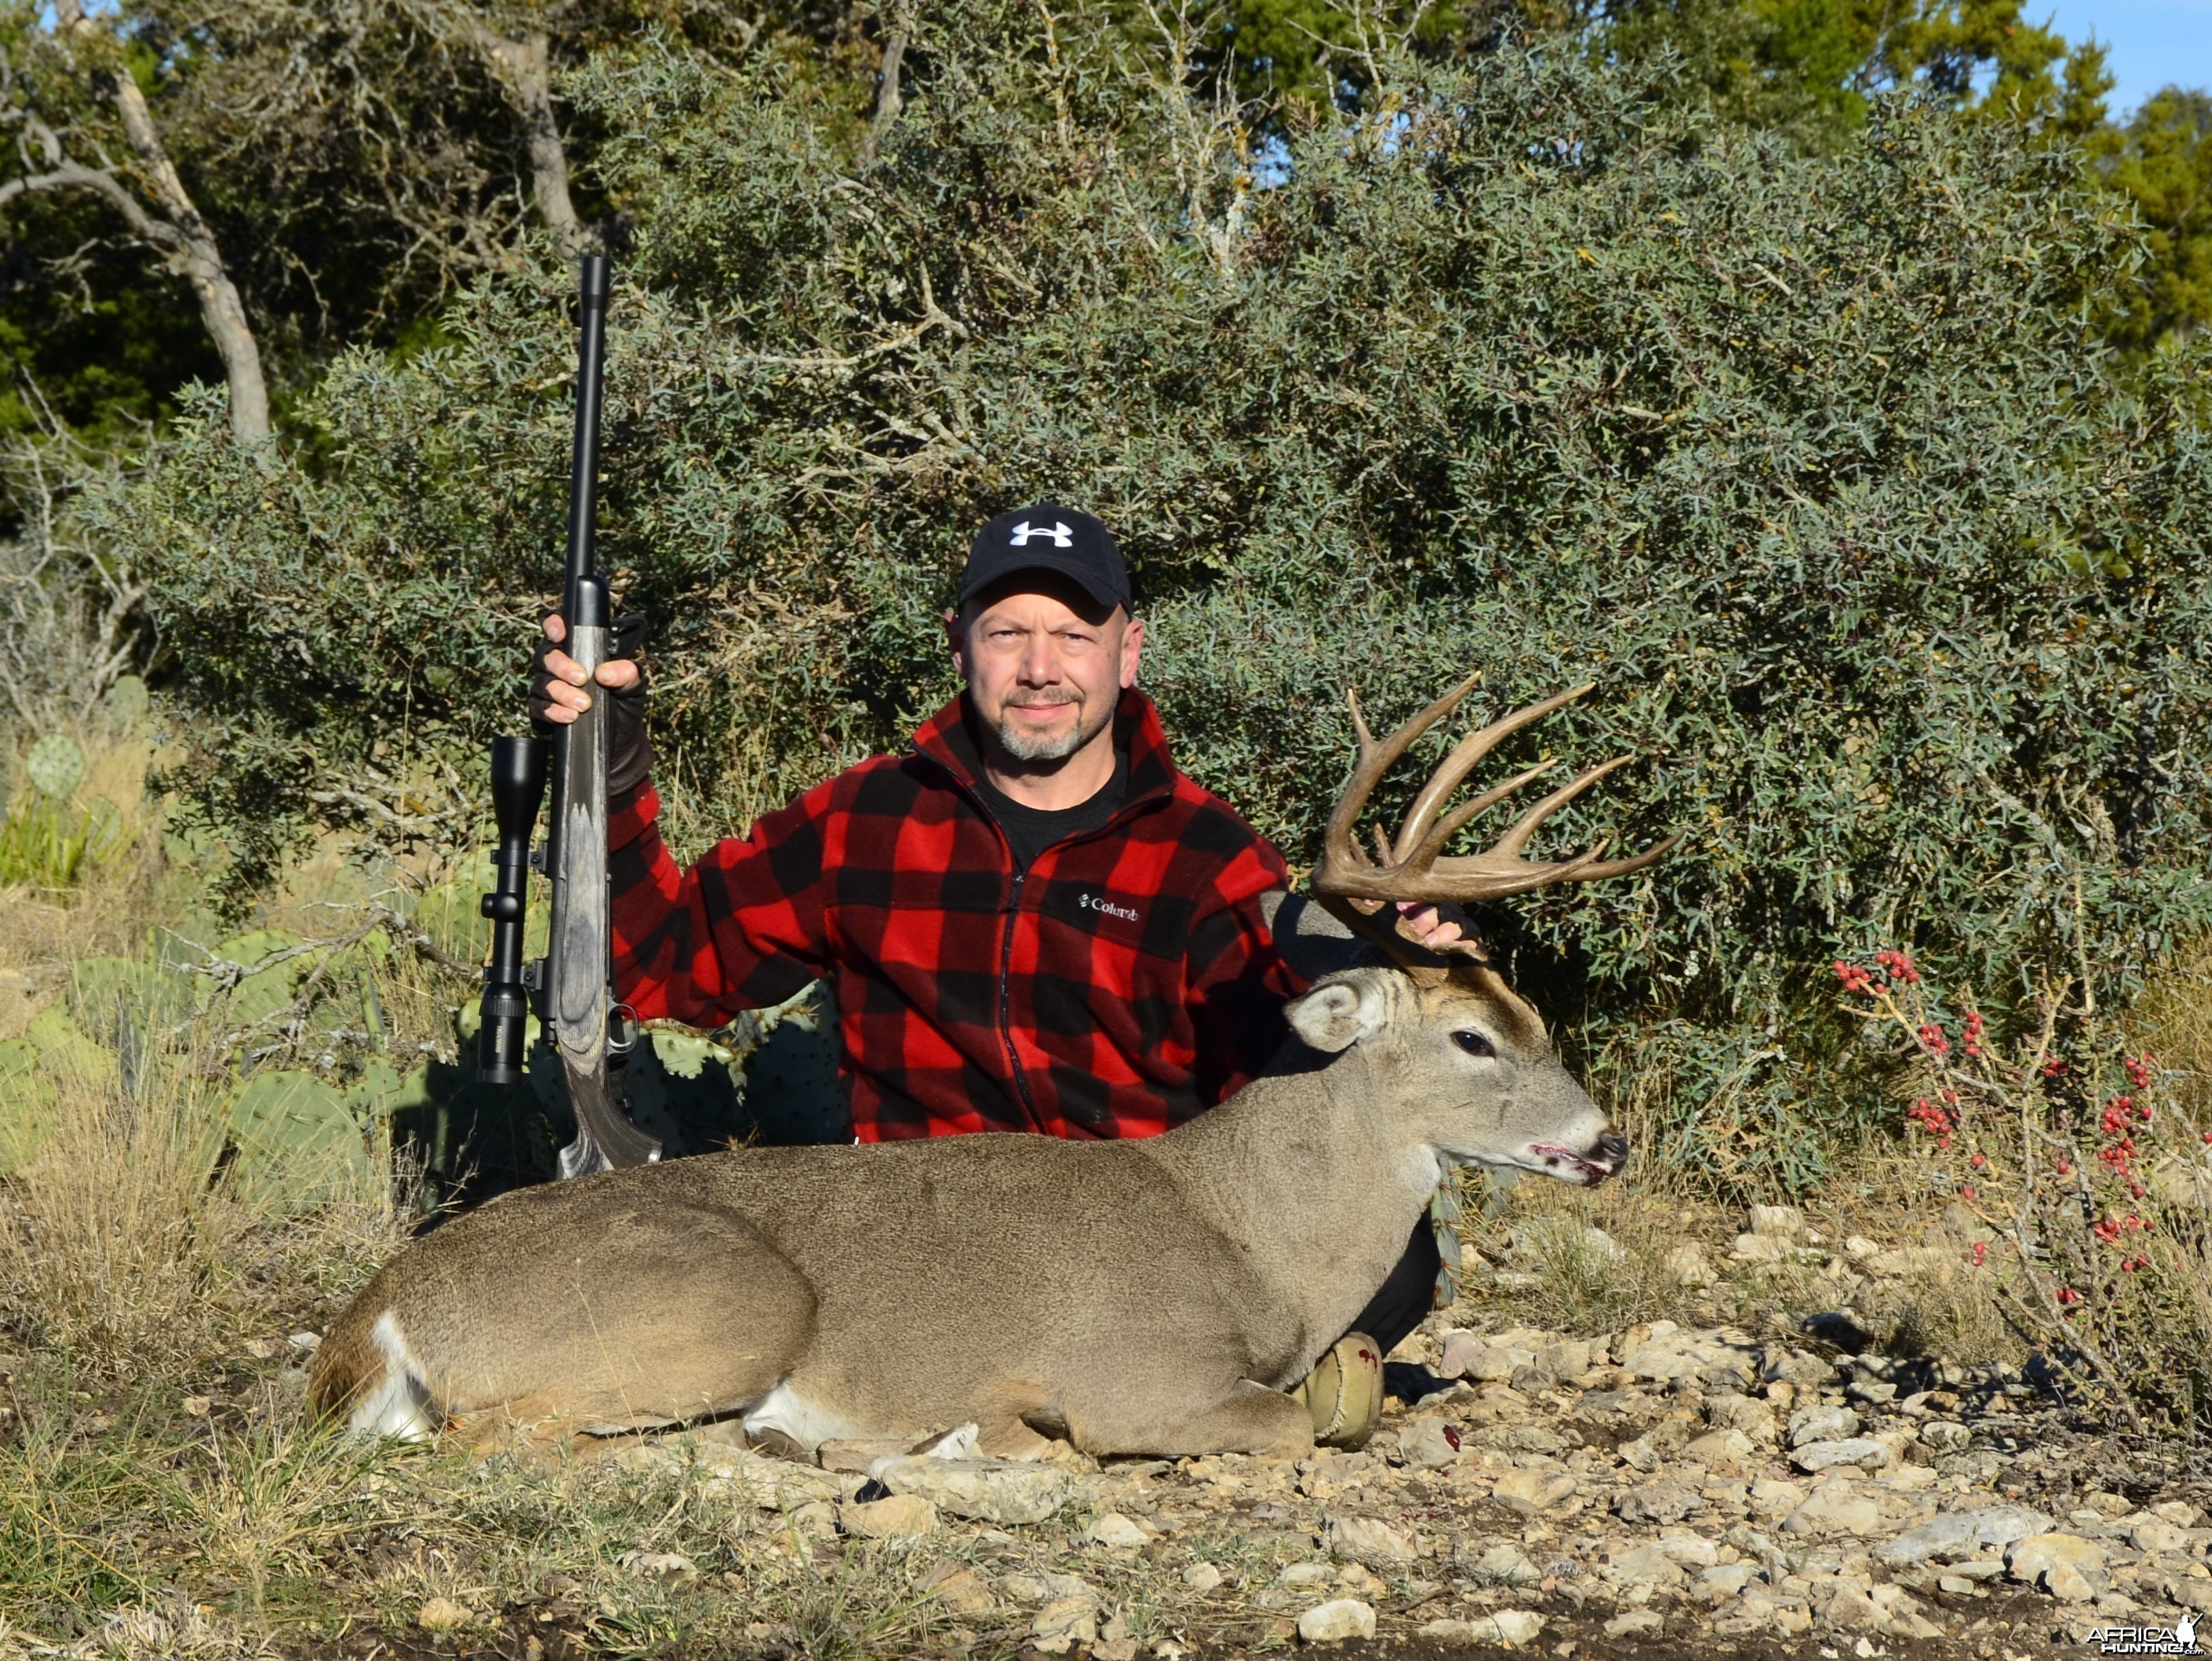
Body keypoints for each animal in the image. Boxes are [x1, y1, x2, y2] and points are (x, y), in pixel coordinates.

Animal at [311, 677, 1672, 1450]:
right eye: (1472, 1038)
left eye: (1535, 1017)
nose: (1605, 1141)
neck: (1254, 1236)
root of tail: (383, 1306)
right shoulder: (1138, 1375)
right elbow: (1292, 1426)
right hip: (730, 1304)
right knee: (499, 1438)